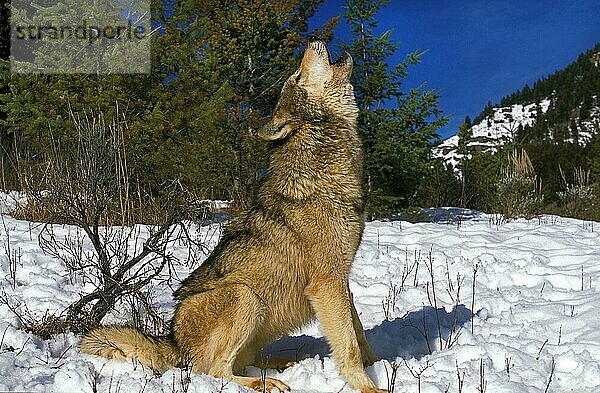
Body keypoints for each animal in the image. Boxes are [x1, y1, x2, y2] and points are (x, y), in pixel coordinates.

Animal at [81, 39, 384, 392]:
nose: (313, 41)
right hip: (246, 297)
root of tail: (173, 342)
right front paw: (369, 386)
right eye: (297, 75)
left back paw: (280, 365)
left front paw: (380, 365)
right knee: (214, 370)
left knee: (243, 361)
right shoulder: (327, 282)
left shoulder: (342, 280)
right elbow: (348, 346)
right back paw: (266, 383)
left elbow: (359, 335)